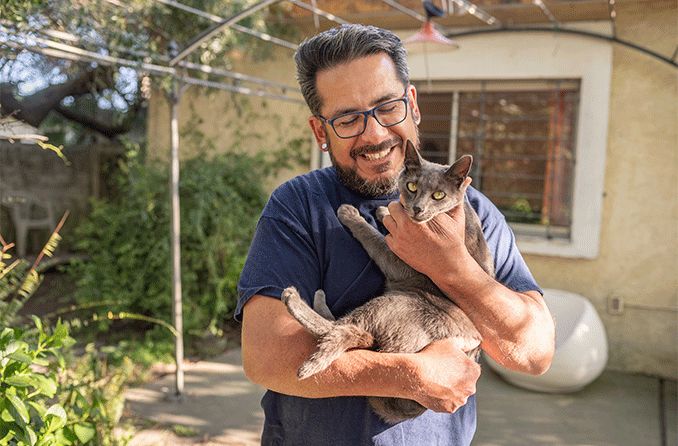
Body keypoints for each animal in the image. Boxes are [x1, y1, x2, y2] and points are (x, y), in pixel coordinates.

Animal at [280, 140, 494, 426]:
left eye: (439, 195)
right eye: (412, 186)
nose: (417, 208)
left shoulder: (401, 261)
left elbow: (376, 239)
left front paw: (354, 215)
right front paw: (385, 211)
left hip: (397, 304)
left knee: (345, 329)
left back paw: (295, 300)